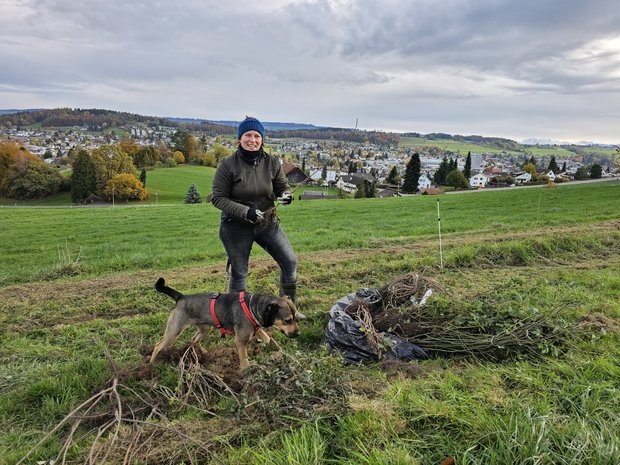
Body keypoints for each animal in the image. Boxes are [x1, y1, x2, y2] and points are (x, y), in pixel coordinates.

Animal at [148, 276, 298, 370]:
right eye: (287, 320)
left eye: (296, 317)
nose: (298, 333)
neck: (252, 306)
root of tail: (181, 297)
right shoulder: (240, 341)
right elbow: (244, 360)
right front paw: (247, 373)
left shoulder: (256, 329)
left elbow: (268, 338)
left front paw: (280, 352)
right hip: (174, 331)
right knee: (157, 345)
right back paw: (151, 365)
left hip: (205, 328)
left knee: (194, 339)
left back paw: (204, 353)